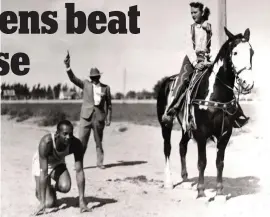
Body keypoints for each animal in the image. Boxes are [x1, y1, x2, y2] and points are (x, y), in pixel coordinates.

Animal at [157, 26, 254, 198]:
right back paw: (168, 182)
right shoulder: (201, 132)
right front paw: (201, 192)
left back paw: (185, 180)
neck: (215, 94)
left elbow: (220, 162)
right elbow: (202, 162)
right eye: (235, 52)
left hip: (186, 127)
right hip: (165, 124)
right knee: (167, 148)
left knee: (182, 146)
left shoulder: (225, 133)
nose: (247, 83)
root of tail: (166, 81)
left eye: (252, 52)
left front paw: (219, 192)